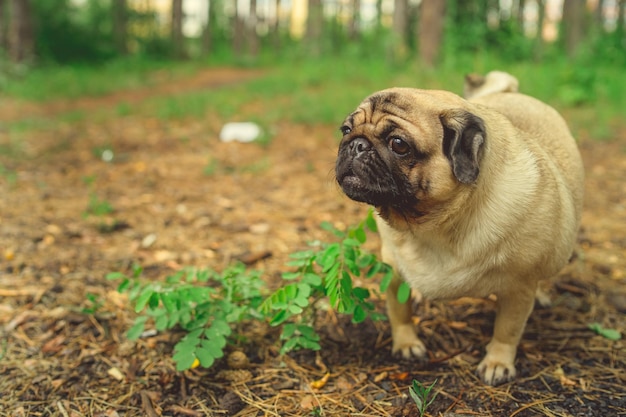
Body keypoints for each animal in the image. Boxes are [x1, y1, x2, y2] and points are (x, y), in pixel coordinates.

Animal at [334, 72, 584, 384]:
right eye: (345, 130)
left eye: (399, 144)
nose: (356, 144)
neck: (433, 226)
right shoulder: (393, 269)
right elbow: (399, 311)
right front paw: (406, 343)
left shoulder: (518, 289)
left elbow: (507, 329)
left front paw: (497, 362)